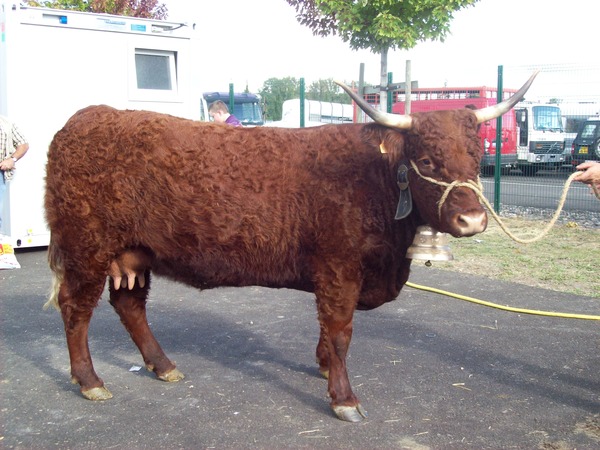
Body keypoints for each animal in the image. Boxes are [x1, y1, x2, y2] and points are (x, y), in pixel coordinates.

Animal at [44, 72, 536, 420]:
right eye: (428, 160)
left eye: (476, 157)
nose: (473, 220)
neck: (372, 178)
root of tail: (86, 119)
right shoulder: (339, 268)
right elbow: (340, 332)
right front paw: (344, 398)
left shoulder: (337, 274)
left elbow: (328, 331)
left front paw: (322, 367)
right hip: (87, 249)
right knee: (75, 309)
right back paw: (90, 380)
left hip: (133, 253)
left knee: (129, 305)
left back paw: (163, 365)